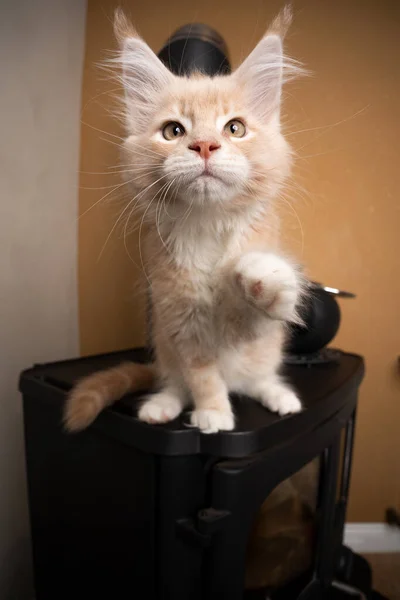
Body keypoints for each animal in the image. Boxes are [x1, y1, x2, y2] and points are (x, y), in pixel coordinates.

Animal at [64, 5, 306, 436]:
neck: (207, 227)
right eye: (173, 131)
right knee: (175, 381)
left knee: (258, 378)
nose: (205, 145)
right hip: (162, 345)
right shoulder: (179, 319)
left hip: (265, 354)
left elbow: (257, 313)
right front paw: (213, 412)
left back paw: (279, 396)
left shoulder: (246, 332)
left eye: (235, 128)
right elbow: (202, 375)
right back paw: (161, 405)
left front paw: (262, 278)